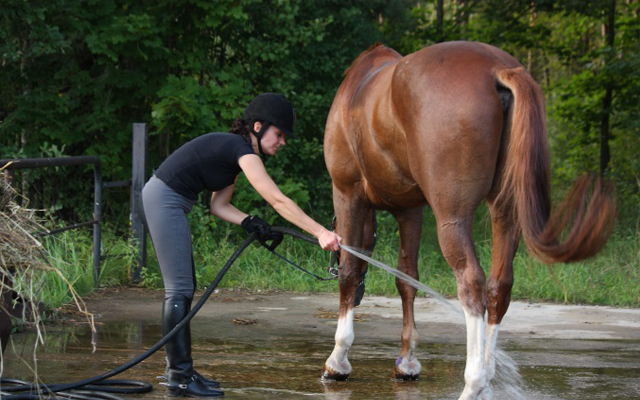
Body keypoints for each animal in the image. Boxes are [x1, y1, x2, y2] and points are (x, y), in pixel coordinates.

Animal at [321, 41, 615, 399]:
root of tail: (497, 70)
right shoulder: (410, 209)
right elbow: (407, 279)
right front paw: (407, 362)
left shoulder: (347, 193)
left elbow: (350, 272)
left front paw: (338, 360)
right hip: (505, 212)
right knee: (499, 286)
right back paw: (486, 379)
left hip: (452, 219)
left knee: (472, 285)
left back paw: (473, 382)